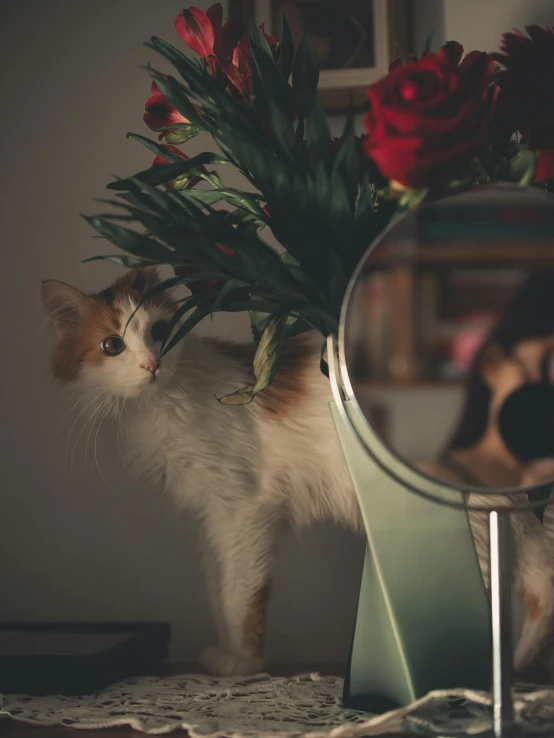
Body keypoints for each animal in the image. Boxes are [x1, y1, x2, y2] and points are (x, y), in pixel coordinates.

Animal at [42, 268, 552, 676]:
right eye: (112, 345)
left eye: (162, 330)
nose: (152, 363)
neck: (164, 402)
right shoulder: (210, 518)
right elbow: (217, 589)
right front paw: (226, 653)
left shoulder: (246, 510)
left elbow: (240, 593)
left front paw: (243, 663)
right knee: (541, 586)